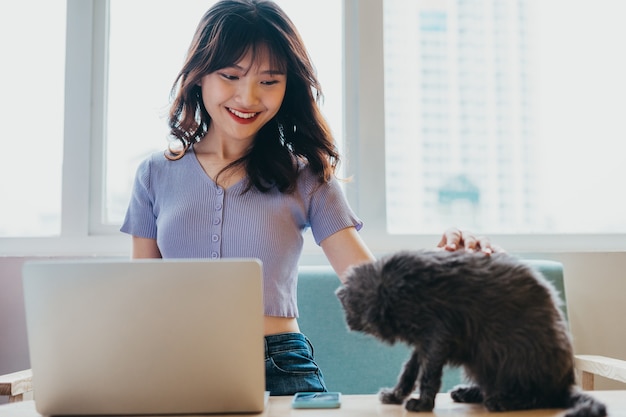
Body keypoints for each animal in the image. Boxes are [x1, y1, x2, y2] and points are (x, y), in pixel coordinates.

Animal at [336, 249, 604, 414]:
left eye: (348, 309)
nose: (347, 321)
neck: (392, 288)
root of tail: (565, 383)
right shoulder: (423, 342)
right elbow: (409, 371)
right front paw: (395, 395)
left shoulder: (438, 334)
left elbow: (428, 375)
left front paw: (422, 404)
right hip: (482, 361)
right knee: (491, 383)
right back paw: (469, 393)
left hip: (510, 353)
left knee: (540, 396)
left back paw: (503, 401)